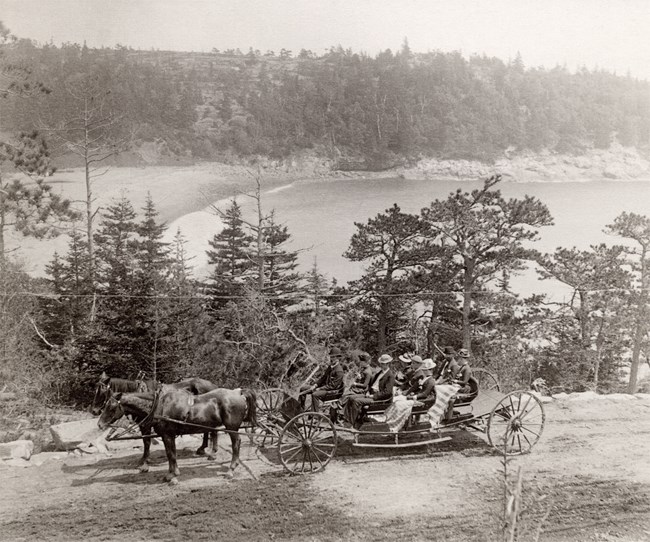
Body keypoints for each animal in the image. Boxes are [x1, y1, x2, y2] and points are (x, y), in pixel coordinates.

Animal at [98, 388, 256, 482]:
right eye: (105, 405)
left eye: (112, 407)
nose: (100, 424)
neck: (159, 406)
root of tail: (238, 393)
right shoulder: (168, 435)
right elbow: (171, 453)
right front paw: (173, 472)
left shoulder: (167, 435)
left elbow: (170, 454)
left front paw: (171, 475)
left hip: (232, 428)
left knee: (236, 444)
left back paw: (231, 470)